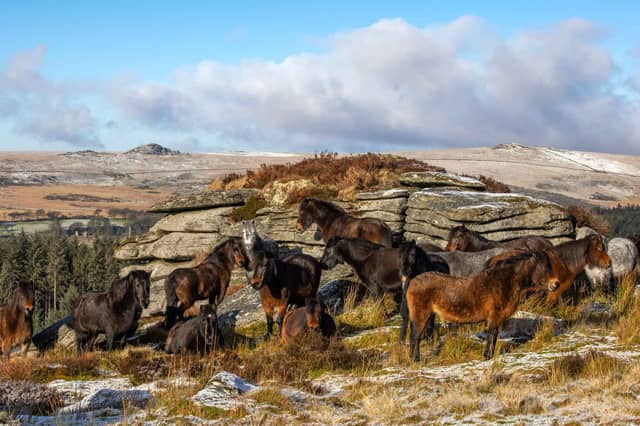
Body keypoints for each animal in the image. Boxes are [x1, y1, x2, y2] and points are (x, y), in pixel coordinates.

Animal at [405, 251, 562, 361]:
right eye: (543, 267)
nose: (555, 284)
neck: (502, 282)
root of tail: (412, 282)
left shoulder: (498, 319)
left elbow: (494, 337)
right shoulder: (494, 317)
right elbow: (491, 336)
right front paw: (487, 356)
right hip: (421, 315)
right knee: (415, 337)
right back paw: (416, 359)